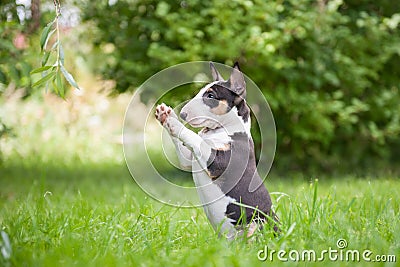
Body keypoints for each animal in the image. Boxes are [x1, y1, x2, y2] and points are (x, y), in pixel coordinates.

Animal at [155, 62, 280, 241]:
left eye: (211, 96)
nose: (183, 114)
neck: (220, 130)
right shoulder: (189, 160)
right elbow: (186, 148)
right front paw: (167, 114)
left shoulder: (218, 161)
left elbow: (196, 138)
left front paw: (174, 122)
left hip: (259, 222)